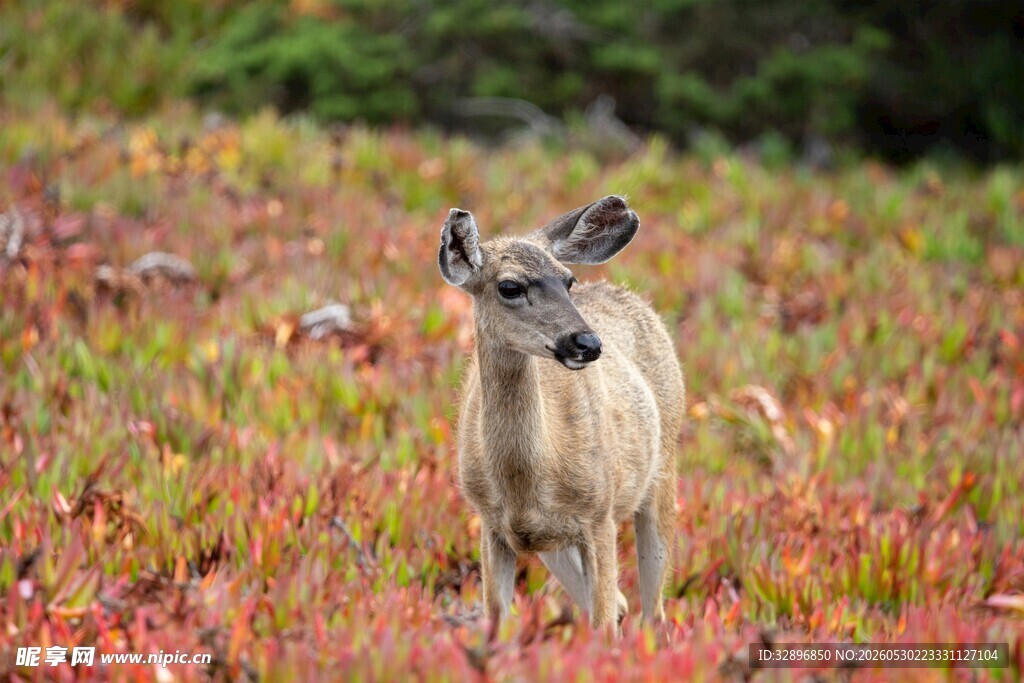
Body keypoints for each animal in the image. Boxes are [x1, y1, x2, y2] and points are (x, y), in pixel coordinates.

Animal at [438, 195, 685, 633]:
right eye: (509, 286)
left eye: (568, 281)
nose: (587, 342)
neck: (527, 477)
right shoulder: (491, 523)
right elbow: (496, 619)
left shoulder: (599, 515)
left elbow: (605, 624)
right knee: (621, 603)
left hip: (663, 470)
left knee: (651, 610)